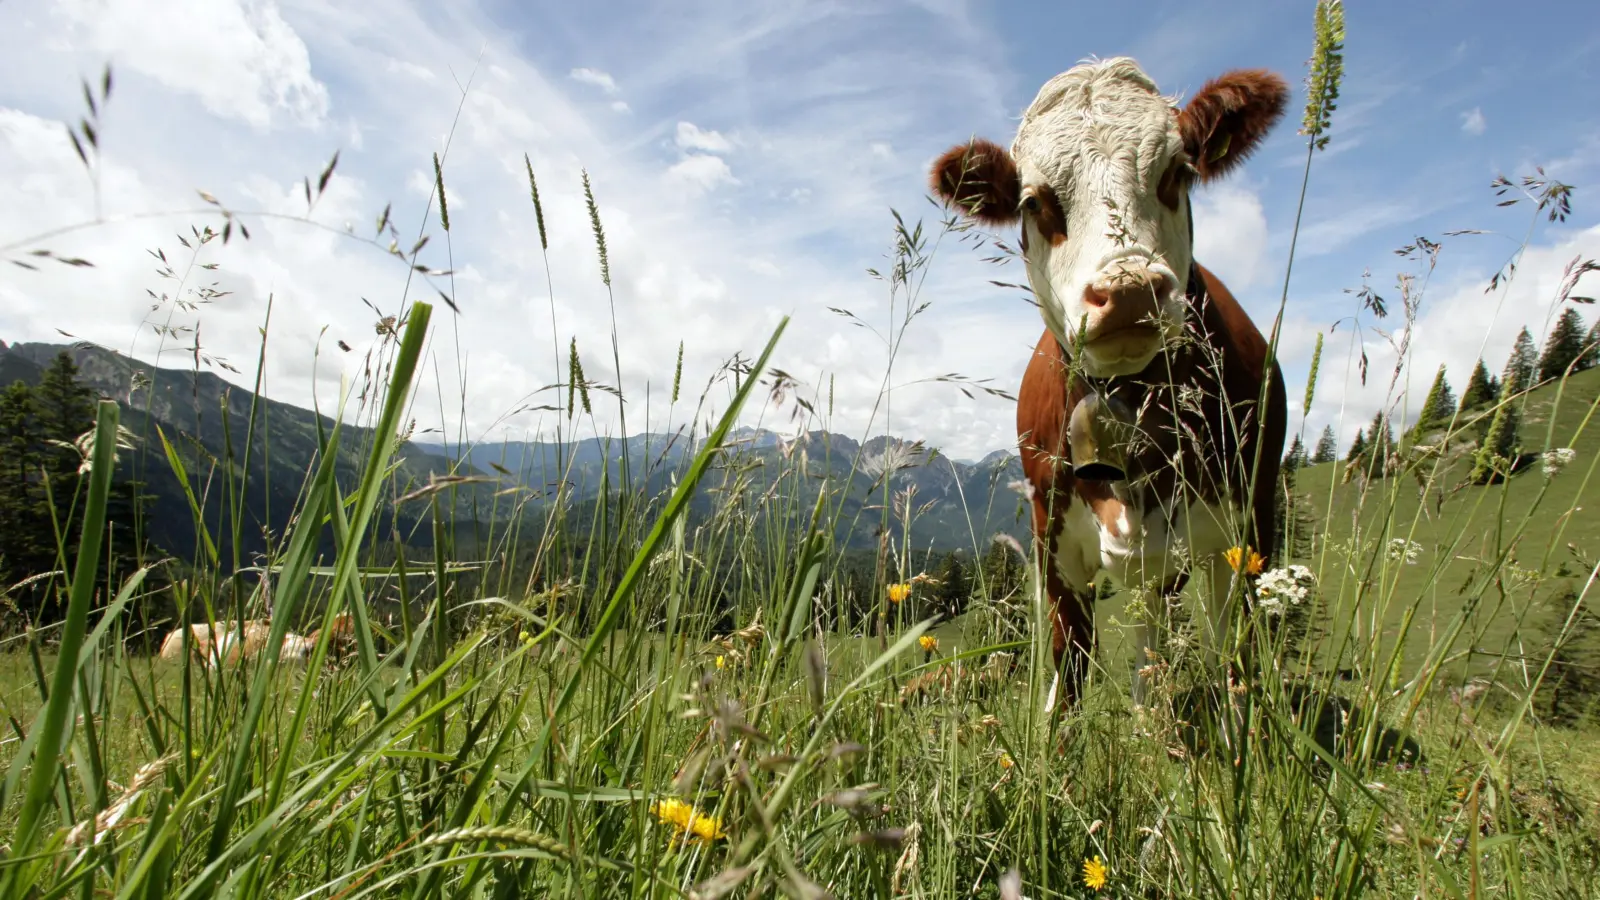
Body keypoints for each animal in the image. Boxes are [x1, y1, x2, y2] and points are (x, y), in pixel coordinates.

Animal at [929, 57, 1290, 711]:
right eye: (1034, 200)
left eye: (1177, 171)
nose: (1128, 291)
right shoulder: (1049, 540)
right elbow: (1070, 662)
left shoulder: (1248, 527)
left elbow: (1236, 654)